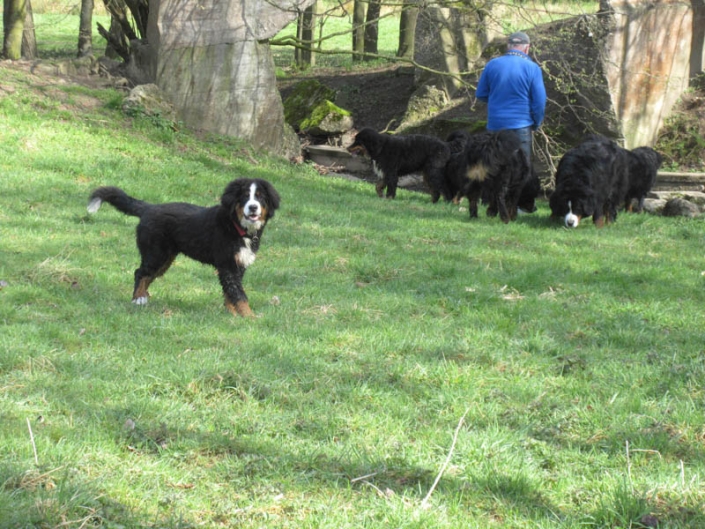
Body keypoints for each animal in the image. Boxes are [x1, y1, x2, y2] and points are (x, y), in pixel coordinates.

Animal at [87, 178, 280, 317]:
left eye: (260, 197)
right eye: (245, 196)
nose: (253, 207)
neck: (237, 227)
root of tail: (149, 207)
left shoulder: (237, 266)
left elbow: (230, 293)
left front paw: (232, 314)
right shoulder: (228, 265)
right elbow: (239, 295)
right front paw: (249, 318)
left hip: (165, 258)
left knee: (147, 276)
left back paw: (144, 297)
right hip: (156, 253)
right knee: (140, 273)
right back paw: (137, 299)